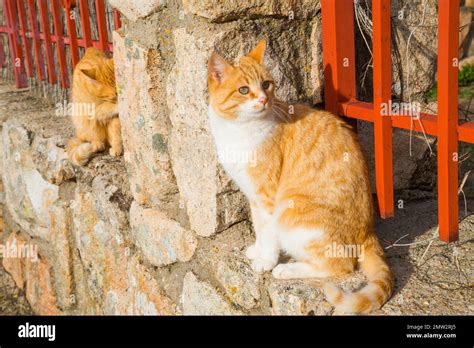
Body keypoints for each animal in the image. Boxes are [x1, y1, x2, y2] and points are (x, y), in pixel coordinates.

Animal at [207, 39, 392, 314]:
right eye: (243, 89)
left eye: (266, 84)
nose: (264, 99)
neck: (238, 131)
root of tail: (368, 231)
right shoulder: (253, 196)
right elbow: (260, 229)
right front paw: (257, 251)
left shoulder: (268, 198)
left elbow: (269, 234)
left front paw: (266, 261)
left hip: (291, 213)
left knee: (340, 265)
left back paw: (287, 269)